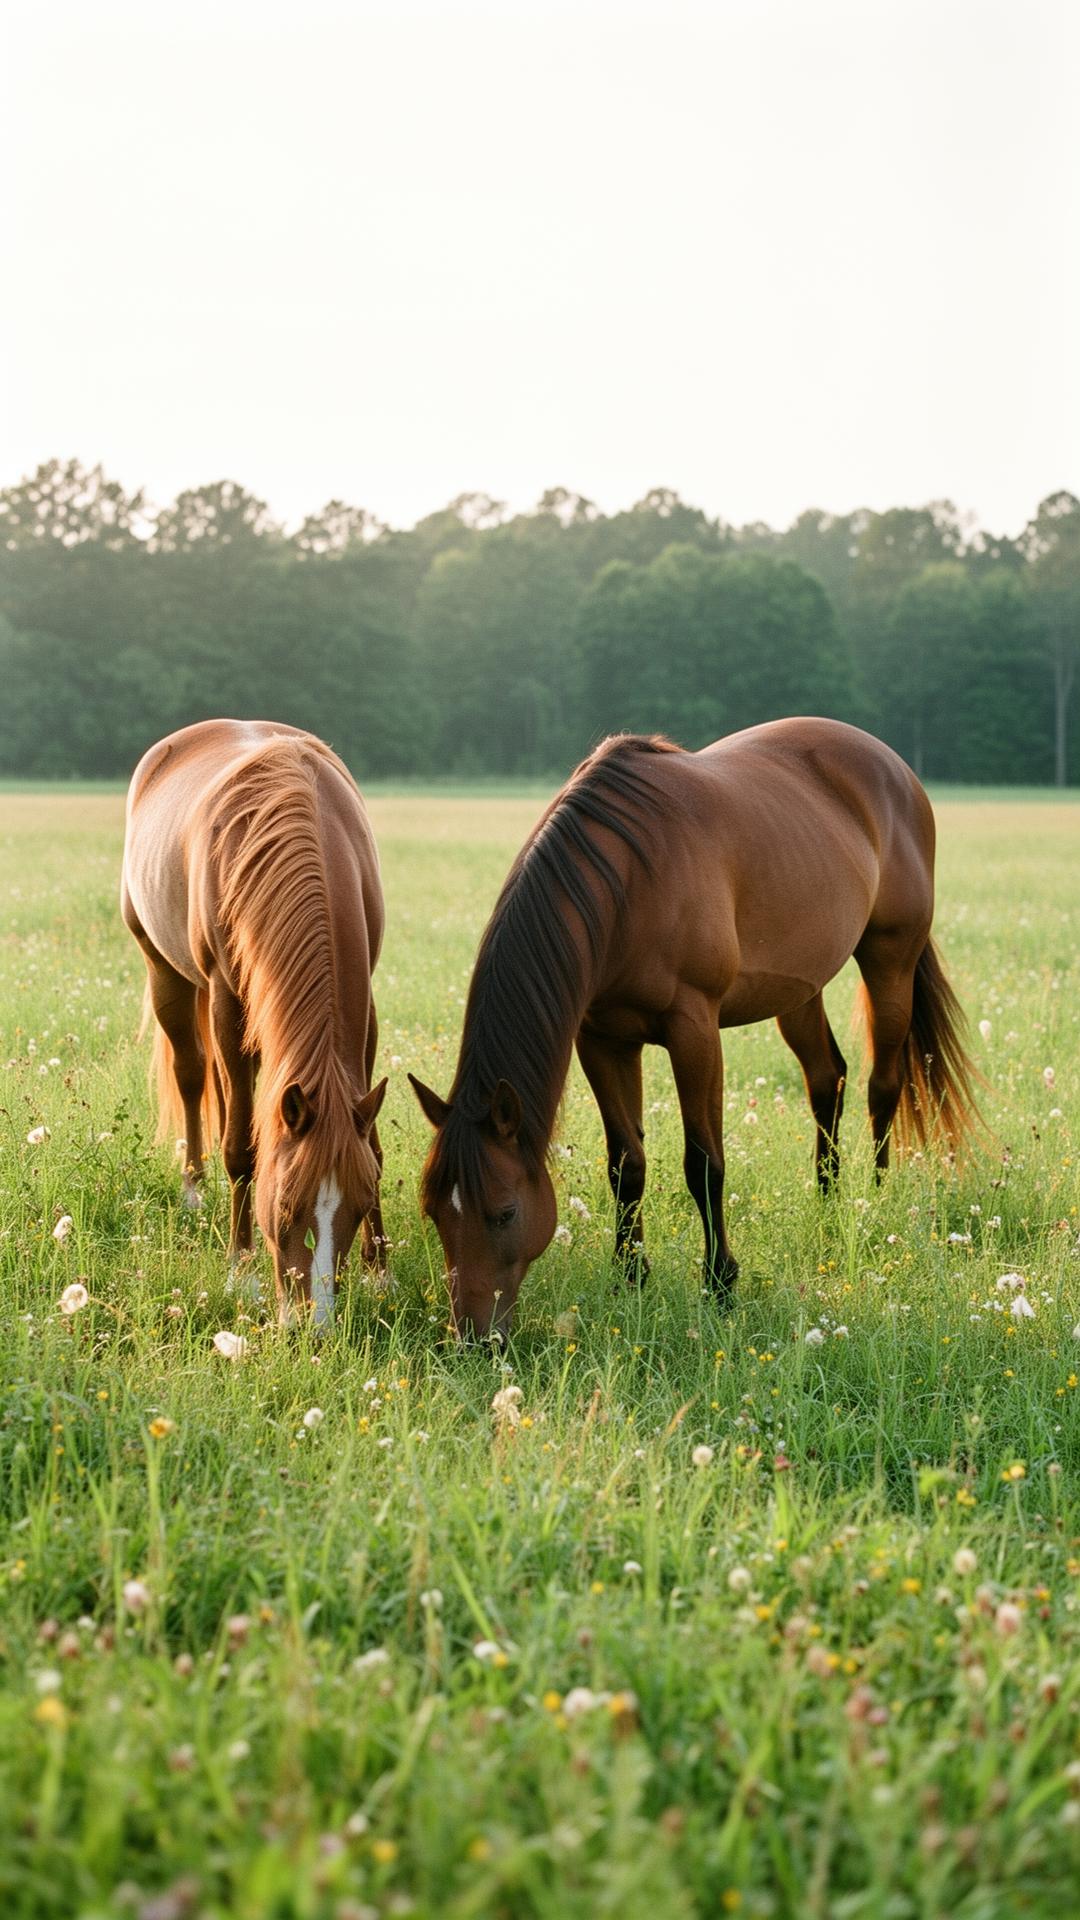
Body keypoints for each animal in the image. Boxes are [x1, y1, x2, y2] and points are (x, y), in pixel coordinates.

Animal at [121, 719, 387, 1327]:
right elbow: (241, 1144)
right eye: (284, 1205)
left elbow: (374, 1142)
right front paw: (240, 1272)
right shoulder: (226, 999)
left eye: (360, 1204)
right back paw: (195, 1189)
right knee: (194, 1076)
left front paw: (380, 1270)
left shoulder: (365, 1011)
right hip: (167, 974)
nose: (315, 1327)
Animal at [409, 717, 977, 1340]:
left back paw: (872, 1200)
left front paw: (720, 1283)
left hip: (890, 960)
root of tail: (894, 766)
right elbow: (626, 1163)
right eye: (433, 1210)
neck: (627, 883)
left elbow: (704, 1163)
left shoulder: (695, 1031)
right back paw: (829, 1204)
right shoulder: (602, 1039)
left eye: (505, 1212)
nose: (472, 1338)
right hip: (799, 988)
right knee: (828, 1079)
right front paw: (630, 1276)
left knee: (884, 1083)